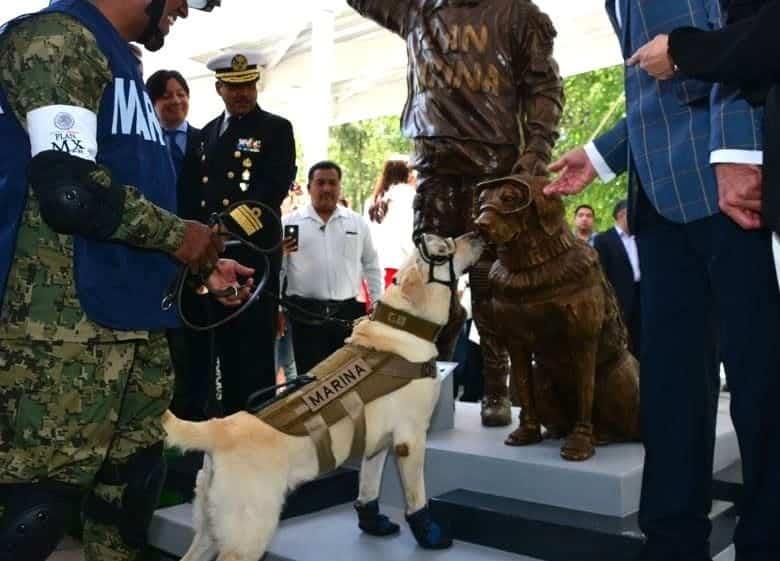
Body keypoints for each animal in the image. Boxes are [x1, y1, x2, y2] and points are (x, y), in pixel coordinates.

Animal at [162, 231, 484, 560]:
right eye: (444, 248)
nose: (476, 233)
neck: (404, 324)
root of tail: (220, 428)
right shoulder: (411, 439)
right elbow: (416, 497)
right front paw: (429, 534)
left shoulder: (377, 444)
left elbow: (368, 487)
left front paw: (373, 523)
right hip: (248, 533)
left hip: (209, 530)